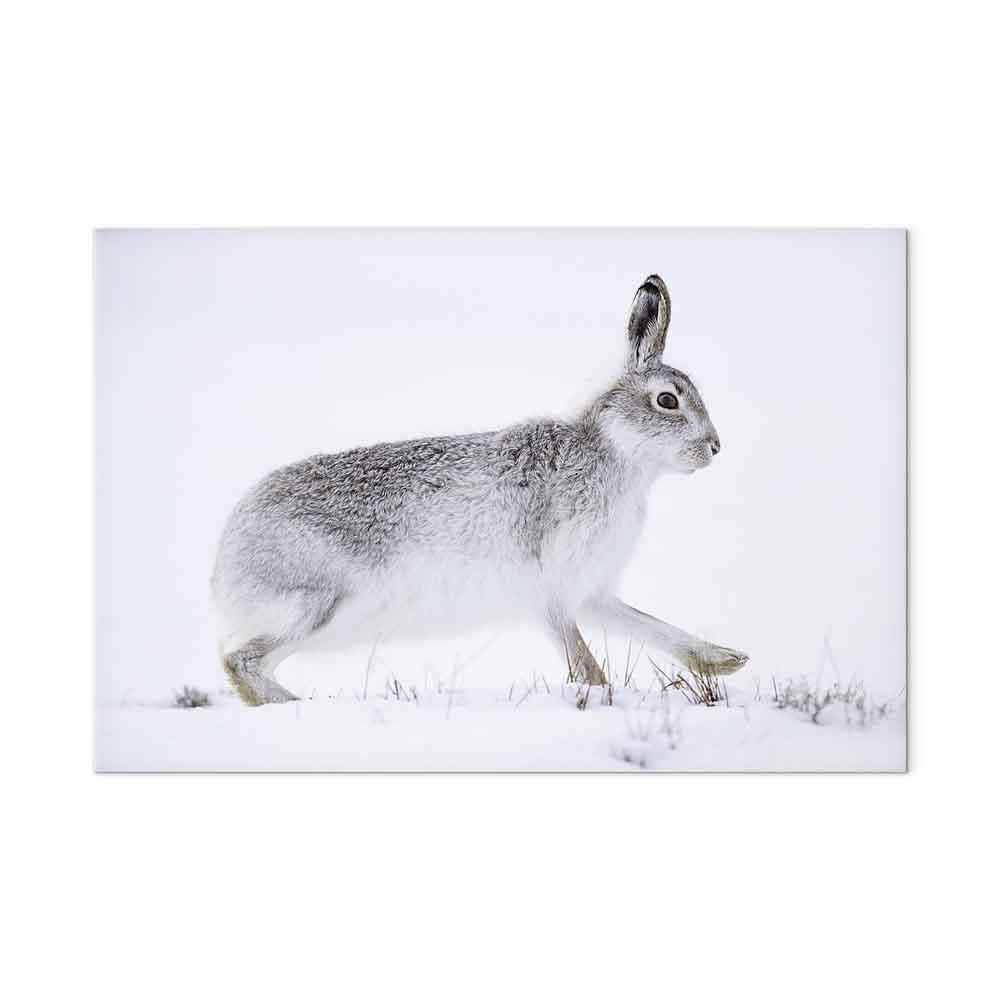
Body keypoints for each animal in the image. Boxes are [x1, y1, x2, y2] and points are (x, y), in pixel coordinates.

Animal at [212, 274, 749, 705]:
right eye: (667, 401)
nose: (715, 447)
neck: (615, 453)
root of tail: (225, 564)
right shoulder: (551, 587)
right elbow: (583, 660)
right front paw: (602, 696)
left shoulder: (589, 589)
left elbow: (648, 624)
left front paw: (725, 661)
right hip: (318, 603)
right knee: (240, 662)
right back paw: (297, 706)